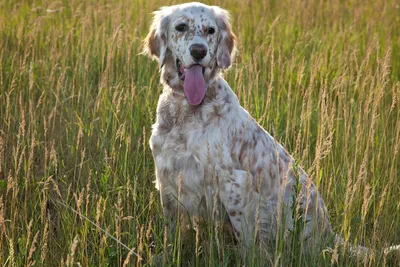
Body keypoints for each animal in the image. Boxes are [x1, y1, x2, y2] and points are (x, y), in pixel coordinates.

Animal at [142, 0, 398, 260]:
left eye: (210, 31)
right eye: (181, 27)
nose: (199, 51)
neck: (187, 110)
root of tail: (329, 233)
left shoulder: (235, 183)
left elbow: (246, 245)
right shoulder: (167, 178)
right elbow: (171, 232)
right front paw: (166, 256)